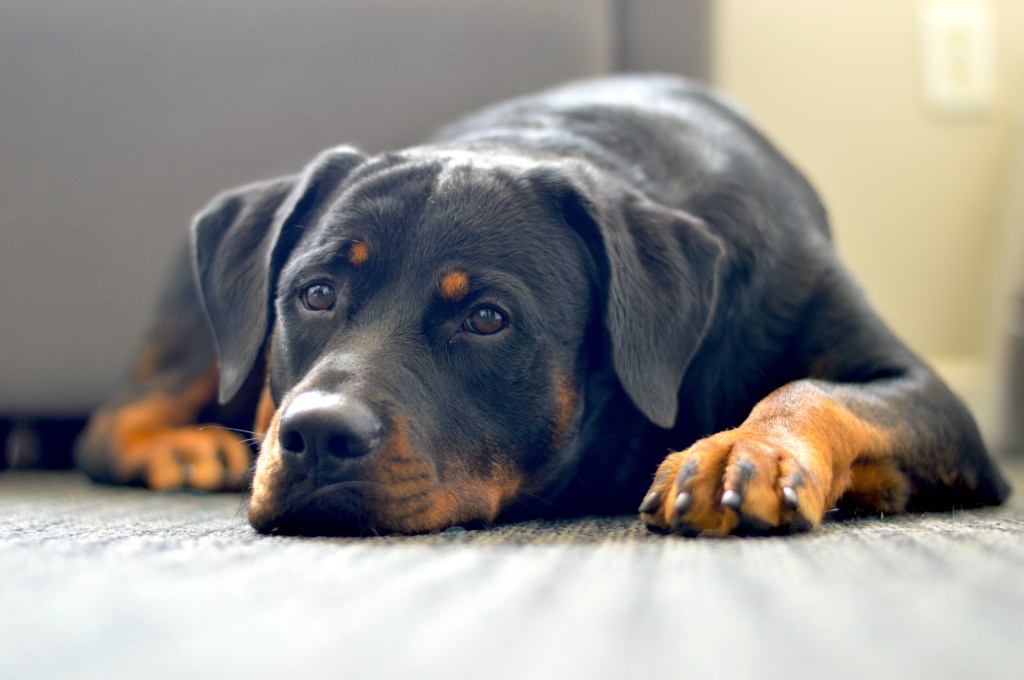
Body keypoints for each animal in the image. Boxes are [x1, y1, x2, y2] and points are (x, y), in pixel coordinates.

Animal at [75, 74, 1011, 536]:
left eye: (487, 318)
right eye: (316, 293)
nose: (316, 436)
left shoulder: (921, 389)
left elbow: (811, 388)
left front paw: (744, 449)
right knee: (108, 419)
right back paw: (187, 449)